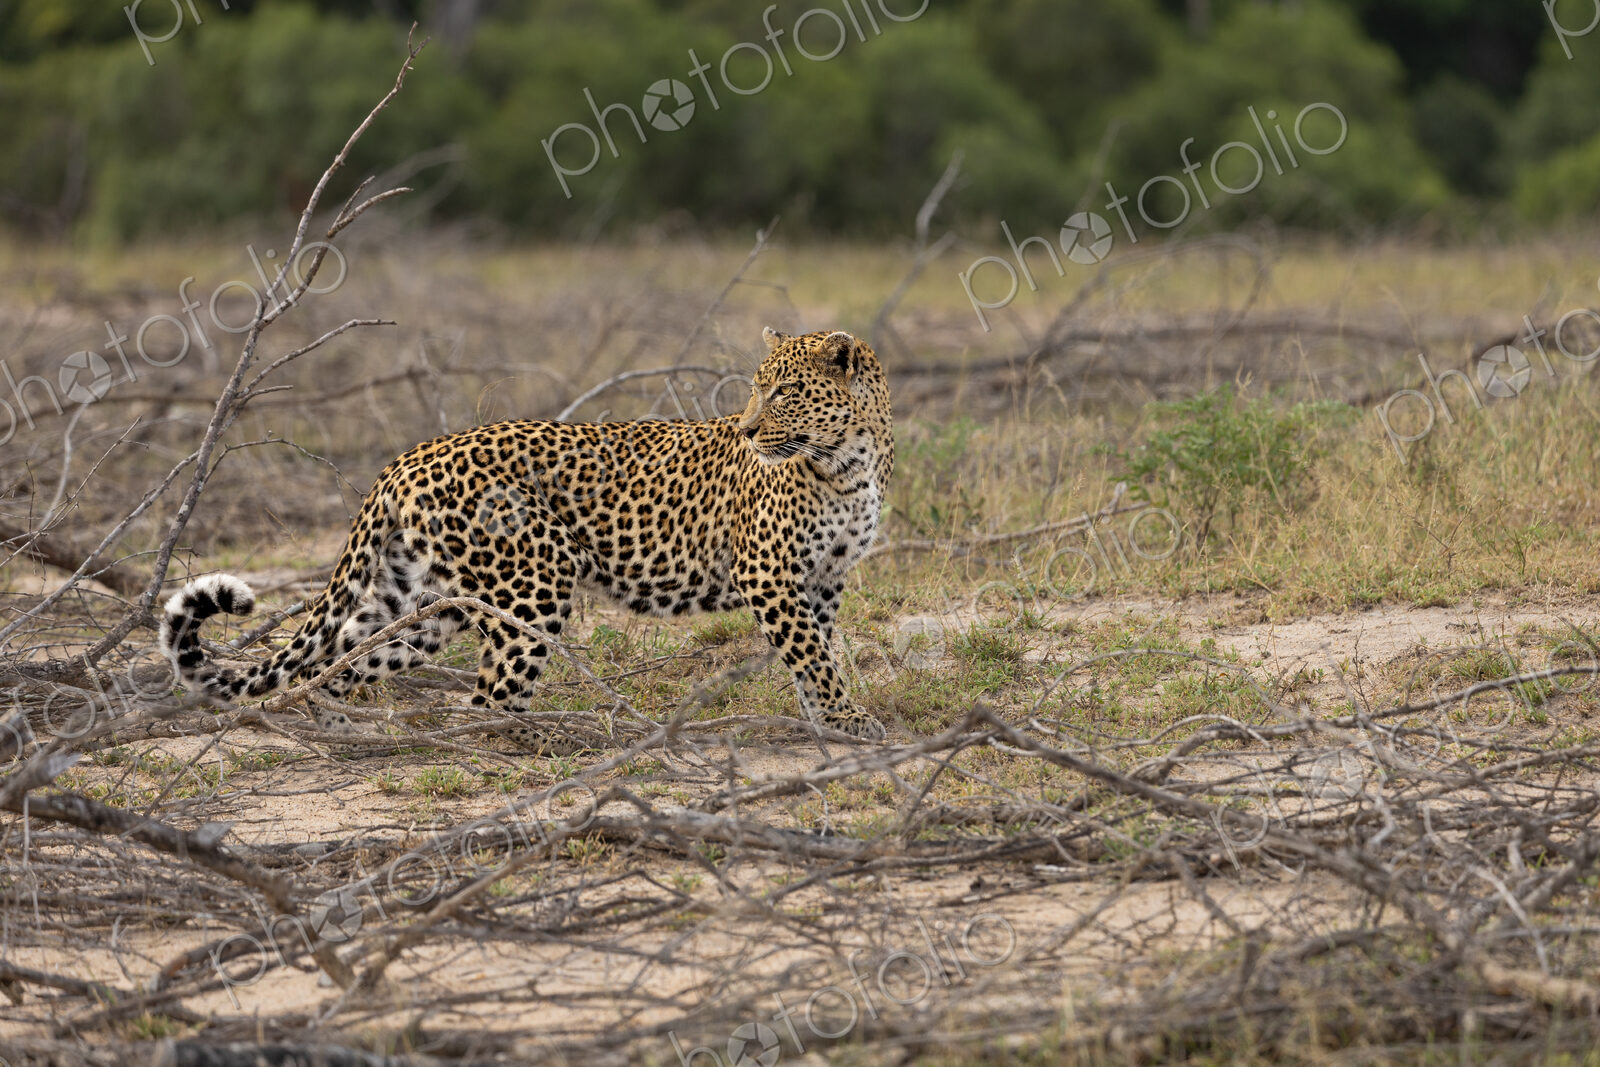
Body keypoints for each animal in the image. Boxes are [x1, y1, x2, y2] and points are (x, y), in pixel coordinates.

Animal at [158, 326, 894, 751]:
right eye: (756, 388)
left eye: (786, 391)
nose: (747, 429)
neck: (849, 462)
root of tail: (409, 455)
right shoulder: (769, 574)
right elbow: (813, 657)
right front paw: (851, 723)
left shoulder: (823, 580)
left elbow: (816, 652)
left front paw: (824, 723)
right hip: (532, 585)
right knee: (488, 700)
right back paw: (546, 744)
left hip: (426, 600)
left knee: (338, 657)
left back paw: (346, 734)